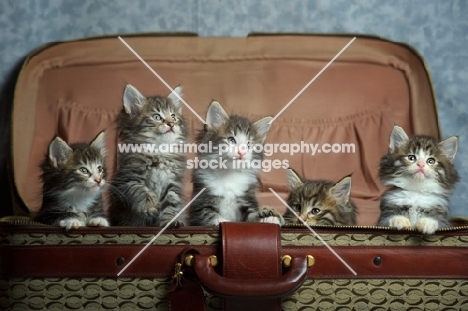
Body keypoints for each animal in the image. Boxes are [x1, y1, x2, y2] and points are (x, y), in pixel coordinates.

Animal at [108, 84, 188, 228]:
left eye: (173, 116)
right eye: (157, 117)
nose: (171, 124)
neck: (159, 151)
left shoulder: (173, 183)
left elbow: (171, 203)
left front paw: (170, 221)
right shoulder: (126, 178)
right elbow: (140, 189)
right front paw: (150, 205)